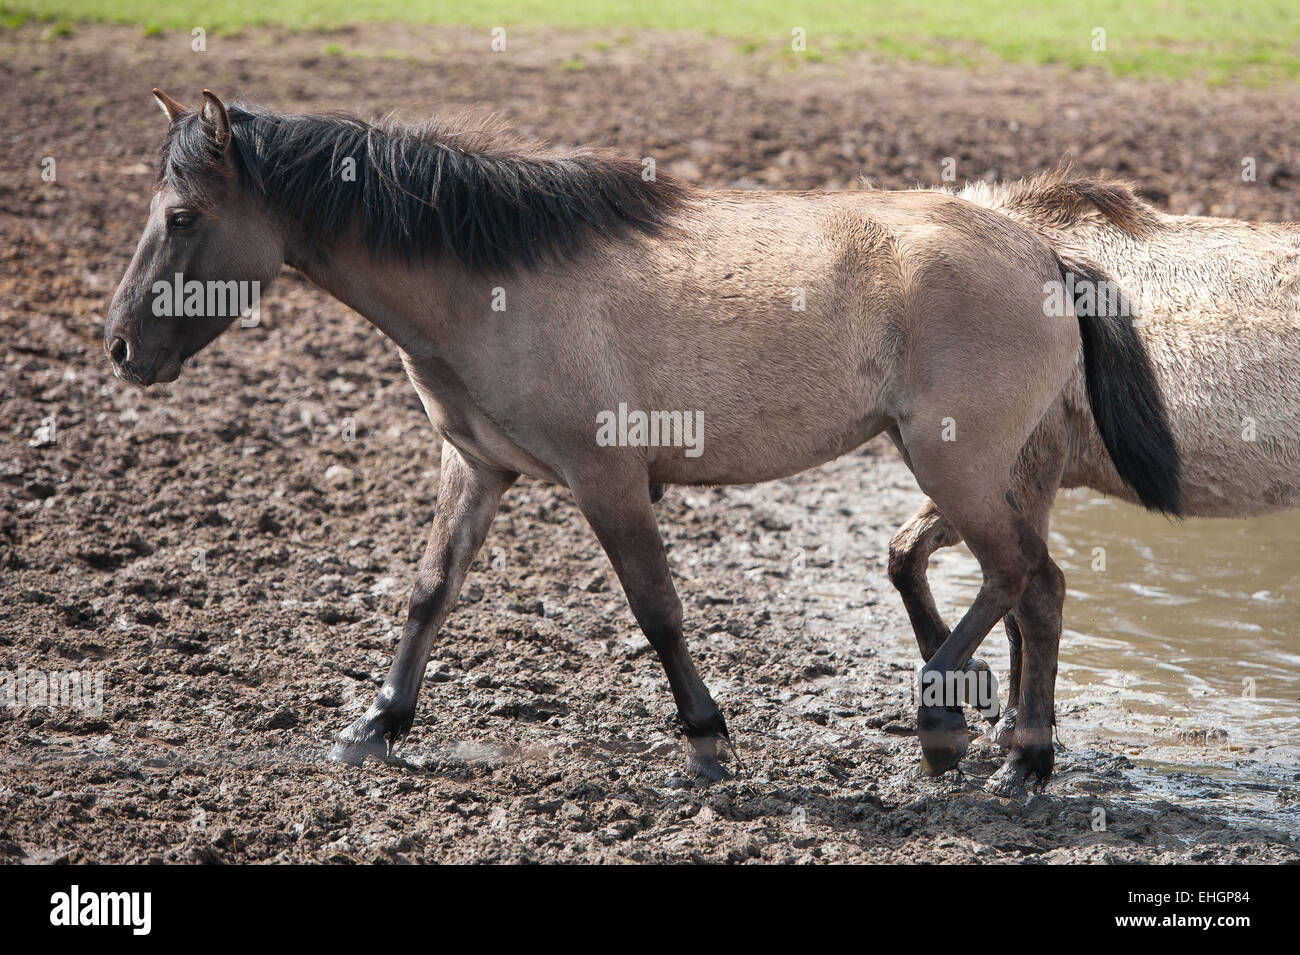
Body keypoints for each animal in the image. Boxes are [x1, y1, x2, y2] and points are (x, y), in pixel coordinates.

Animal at [105, 89, 1179, 793]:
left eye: (184, 216)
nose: (119, 347)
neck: (494, 279)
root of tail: (1043, 252)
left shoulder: (606, 479)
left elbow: (657, 609)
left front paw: (707, 739)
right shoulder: (476, 467)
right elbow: (429, 593)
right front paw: (374, 726)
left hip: (956, 463)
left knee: (1023, 577)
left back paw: (966, 733)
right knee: (1032, 587)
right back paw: (1018, 752)